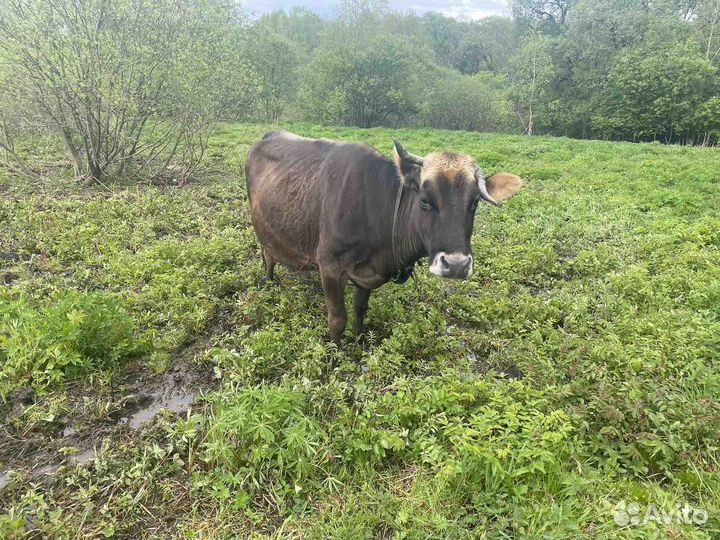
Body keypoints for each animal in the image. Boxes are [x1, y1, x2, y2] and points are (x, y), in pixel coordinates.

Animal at [245, 130, 522, 342]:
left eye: (474, 203)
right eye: (424, 200)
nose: (456, 265)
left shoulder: (366, 274)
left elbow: (359, 310)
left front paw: (359, 340)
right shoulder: (330, 265)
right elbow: (337, 319)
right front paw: (335, 351)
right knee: (268, 256)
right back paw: (270, 282)